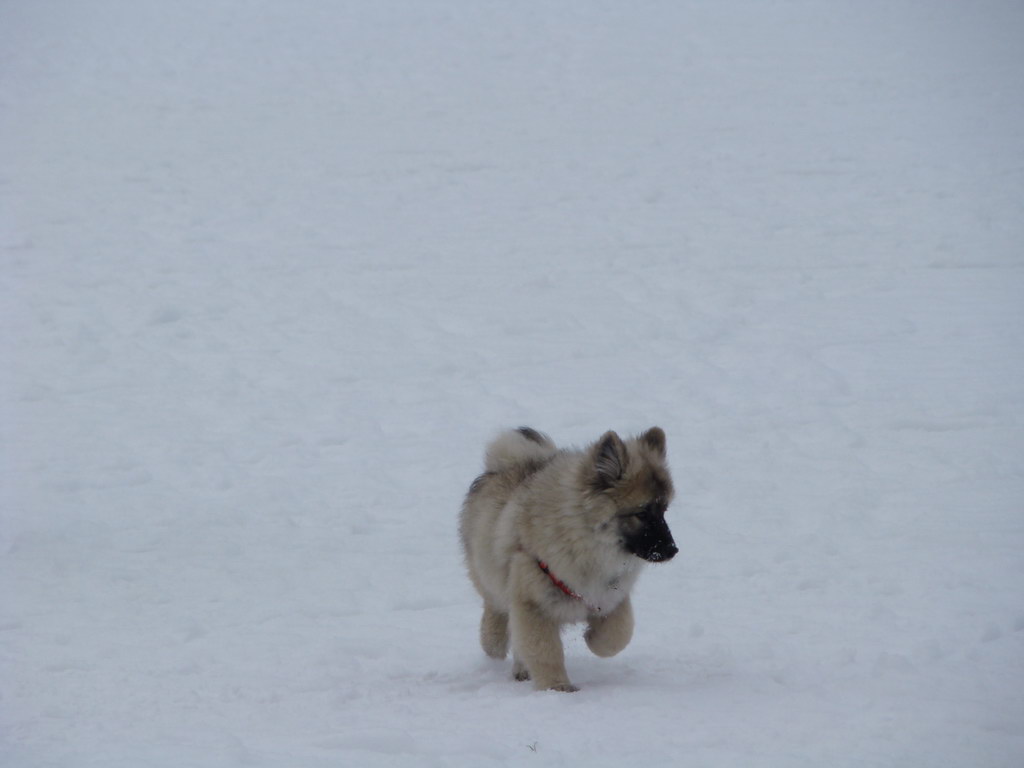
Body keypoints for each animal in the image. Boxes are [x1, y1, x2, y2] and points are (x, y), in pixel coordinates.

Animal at [460, 428, 675, 692]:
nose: (672, 549)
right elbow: (545, 651)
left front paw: (592, 638)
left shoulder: (610, 596)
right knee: (496, 610)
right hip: (491, 578)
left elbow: (619, 634)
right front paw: (557, 687)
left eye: (664, 510)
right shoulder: (534, 605)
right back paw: (493, 642)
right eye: (642, 513)